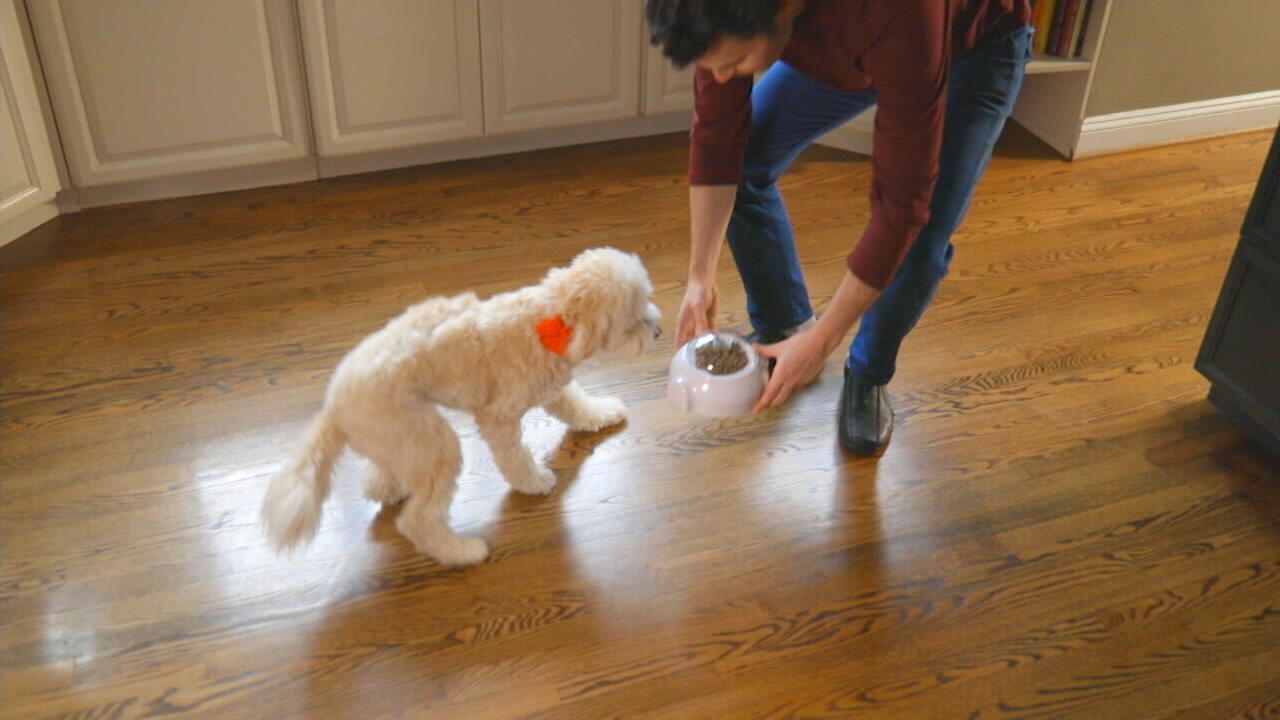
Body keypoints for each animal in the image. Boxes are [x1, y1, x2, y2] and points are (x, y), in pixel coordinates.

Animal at [259, 245, 660, 566]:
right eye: (634, 319)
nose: (658, 331)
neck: (550, 319)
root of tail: (333, 409)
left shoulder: (553, 387)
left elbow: (577, 404)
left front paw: (603, 414)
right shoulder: (499, 416)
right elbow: (515, 457)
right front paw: (533, 482)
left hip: (404, 437)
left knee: (379, 476)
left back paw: (389, 488)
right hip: (432, 443)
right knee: (418, 520)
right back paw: (460, 552)